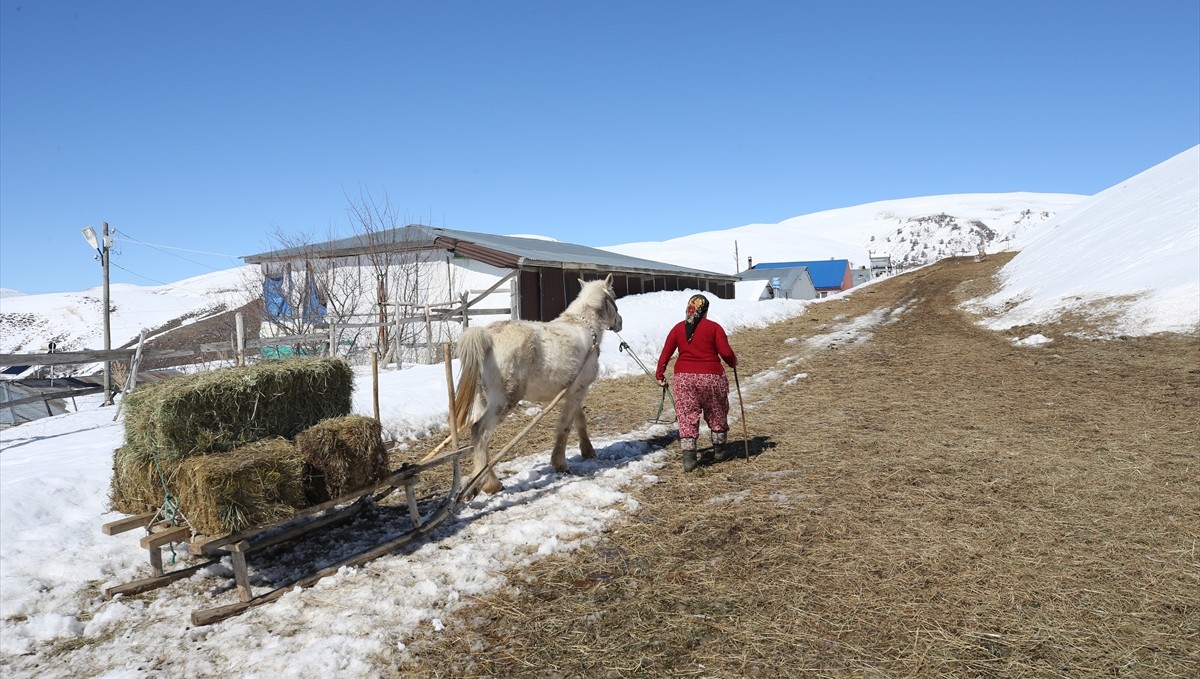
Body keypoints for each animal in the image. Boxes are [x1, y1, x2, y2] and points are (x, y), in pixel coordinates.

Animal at [451, 275, 619, 494]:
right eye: (614, 296)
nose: (619, 323)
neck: (585, 327)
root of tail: (487, 336)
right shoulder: (579, 391)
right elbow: (566, 426)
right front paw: (560, 463)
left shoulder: (572, 393)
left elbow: (580, 421)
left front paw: (587, 450)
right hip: (502, 401)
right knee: (479, 432)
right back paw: (491, 484)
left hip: (482, 400)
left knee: (479, 440)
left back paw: (478, 480)